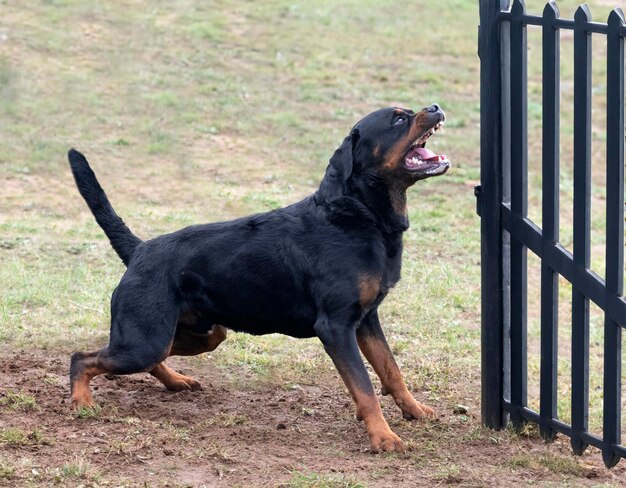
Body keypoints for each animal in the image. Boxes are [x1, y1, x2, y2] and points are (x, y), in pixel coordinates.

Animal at [67, 105, 448, 452]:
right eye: (398, 119)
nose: (435, 107)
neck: (358, 216)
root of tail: (140, 250)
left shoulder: (367, 320)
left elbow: (390, 370)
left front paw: (414, 411)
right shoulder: (337, 326)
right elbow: (366, 387)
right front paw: (383, 438)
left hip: (199, 334)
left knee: (150, 358)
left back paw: (176, 382)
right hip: (145, 339)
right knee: (82, 358)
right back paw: (81, 403)